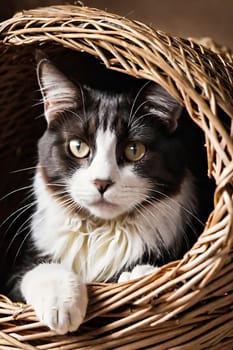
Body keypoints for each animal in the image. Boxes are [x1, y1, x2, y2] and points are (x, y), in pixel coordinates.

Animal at [5, 52, 213, 334]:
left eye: (134, 150)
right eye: (78, 146)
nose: (101, 182)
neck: (102, 229)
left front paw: (139, 276)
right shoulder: (16, 275)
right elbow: (38, 269)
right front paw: (61, 305)